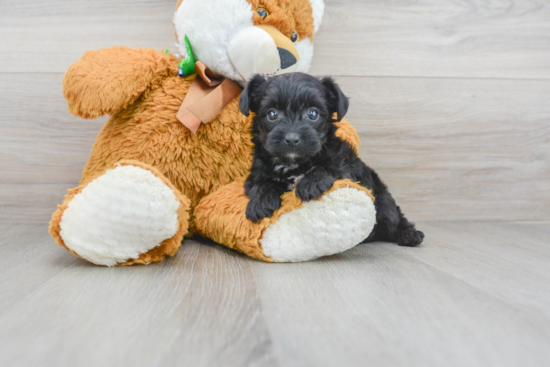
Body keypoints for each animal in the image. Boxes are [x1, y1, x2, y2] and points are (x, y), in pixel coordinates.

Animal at [239, 72, 424, 247]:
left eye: (312, 113)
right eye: (272, 114)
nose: (292, 139)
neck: (295, 163)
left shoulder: (347, 167)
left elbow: (331, 166)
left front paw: (310, 183)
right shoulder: (256, 173)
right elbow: (260, 184)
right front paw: (261, 203)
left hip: (384, 202)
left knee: (395, 218)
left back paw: (409, 234)